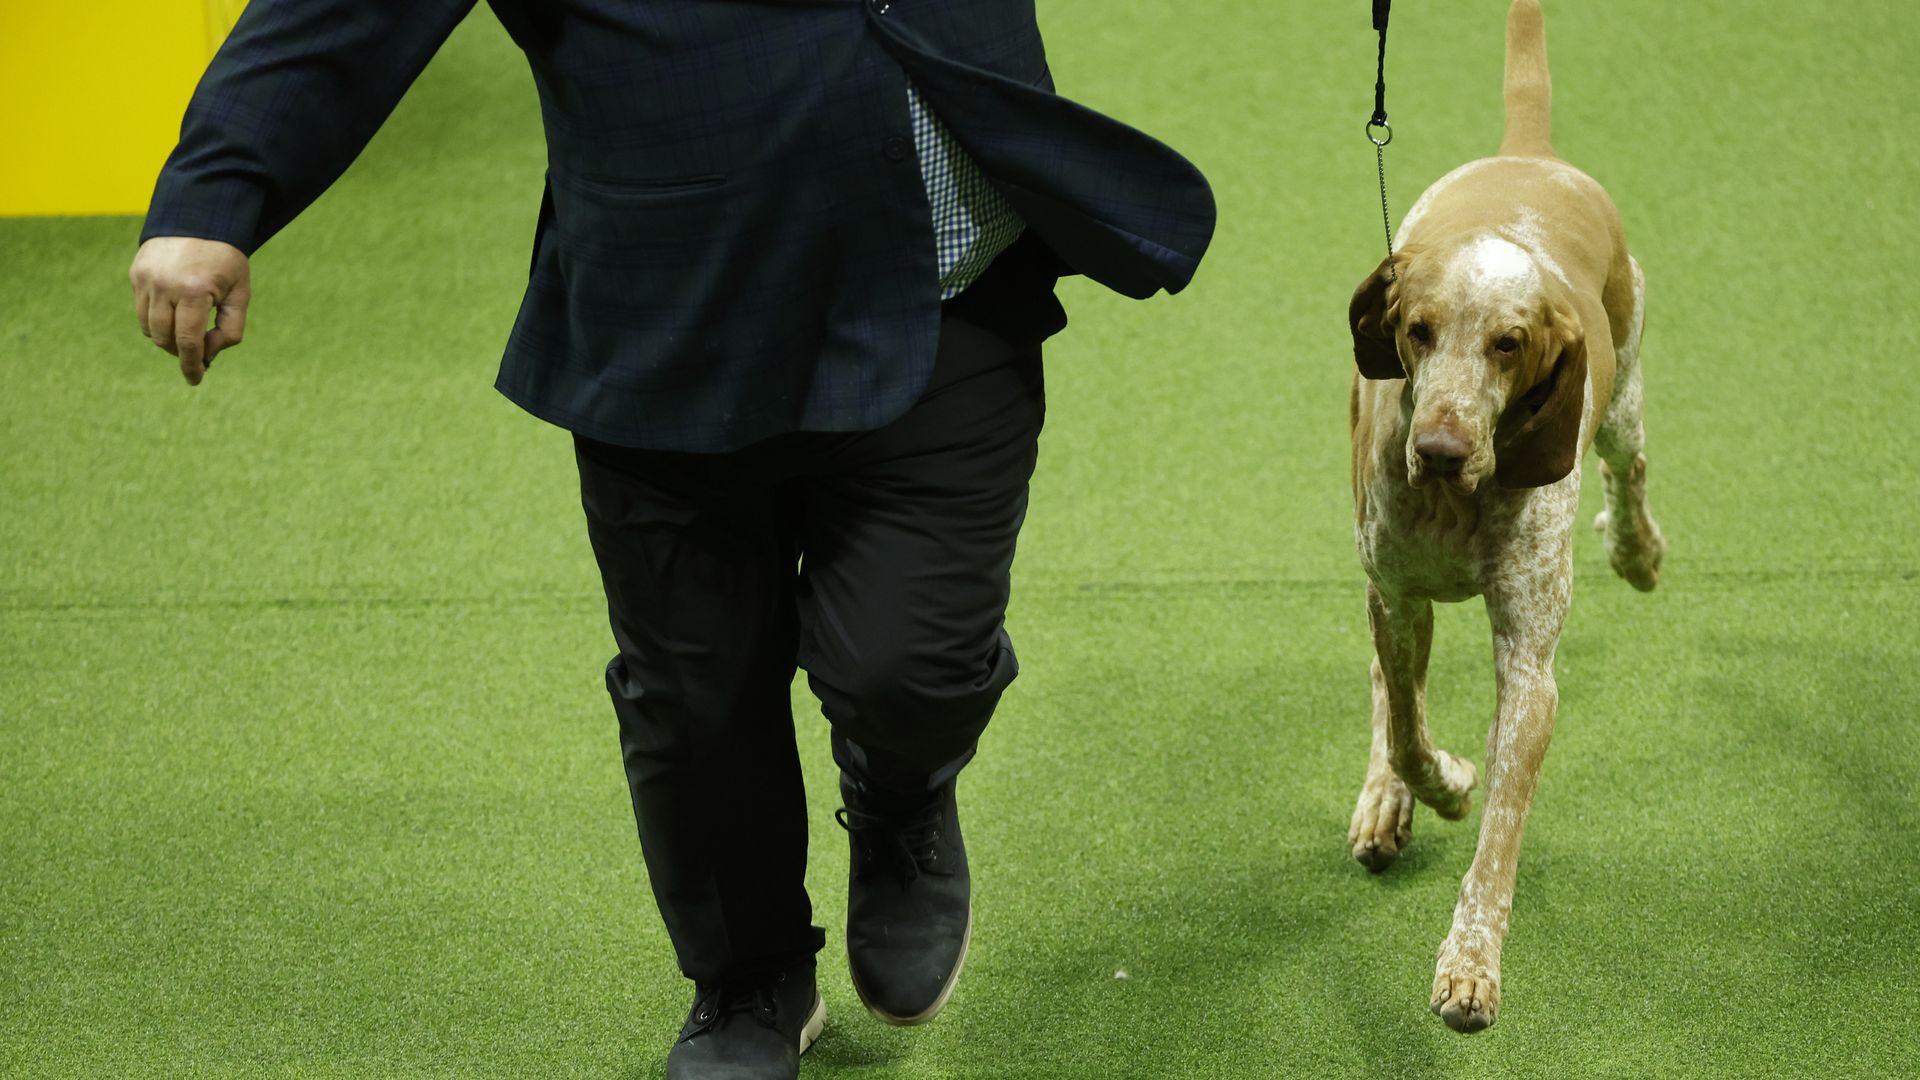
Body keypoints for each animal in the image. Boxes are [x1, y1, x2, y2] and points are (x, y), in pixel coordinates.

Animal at [1336, 0, 1666, 1037]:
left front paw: (1472, 963)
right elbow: (1406, 726)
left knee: (1631, 466)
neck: (1457, 500)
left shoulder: (1529, 665)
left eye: (1509, 344)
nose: (1439, 446)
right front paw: (1430, 786)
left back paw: (1637, 549)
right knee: (1384, 684)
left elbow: (1501, 832)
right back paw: (1383, 800)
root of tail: (1528, 152)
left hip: (1625, 391)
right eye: (1418, 331)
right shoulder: (1397, 595)